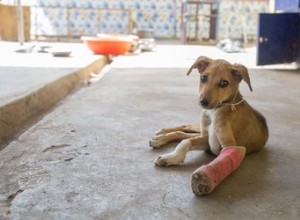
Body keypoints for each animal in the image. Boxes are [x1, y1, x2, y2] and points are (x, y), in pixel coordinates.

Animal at [149, 57, 268, 194]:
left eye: (224, 83)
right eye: (204, 78)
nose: (203, 102)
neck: (214, 111)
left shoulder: (225, 145)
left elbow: (187, 142)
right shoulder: (207, 140)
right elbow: (185, 142)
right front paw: (172, 157)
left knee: (183, 133)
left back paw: (161, 137)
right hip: (201, 129)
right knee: (185, 128)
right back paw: (161, 135)